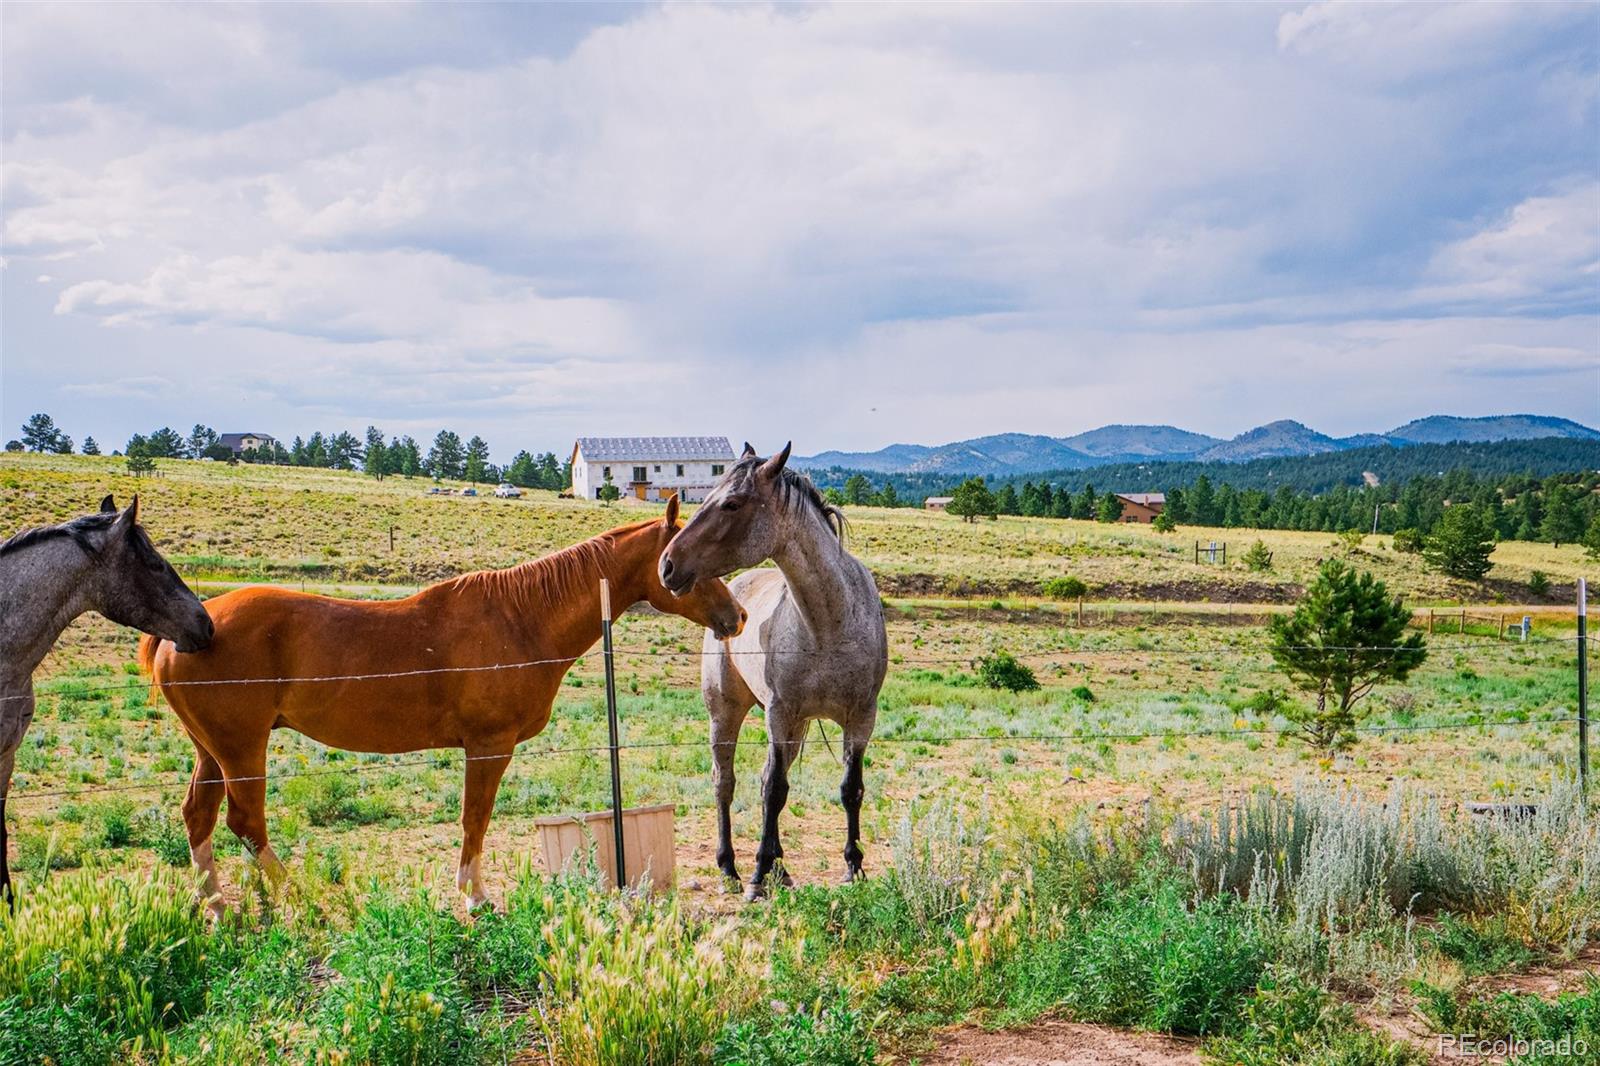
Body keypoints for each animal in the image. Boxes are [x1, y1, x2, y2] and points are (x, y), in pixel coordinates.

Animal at [140, 492, 739, 909]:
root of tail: (186, 629)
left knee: (199, 817)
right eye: (684, 555)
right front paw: (474, 896)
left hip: (211, 752)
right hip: (242, 750)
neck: (522, 620)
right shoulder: (488, 746)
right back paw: (301, 895)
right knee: (247, 822)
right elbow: (476, 817)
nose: (738, 616)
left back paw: (216, 905)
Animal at [659, 441, 889, 896]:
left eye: (732, 503)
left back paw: (782, 869)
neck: (828, 624)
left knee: (767, 777)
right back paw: (731, 867)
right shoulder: (780, 714)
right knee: (726, 782)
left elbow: (850, 789)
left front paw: (853, 865)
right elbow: (774, 792)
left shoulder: (860, 718)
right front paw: (758, 873)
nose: (668, 565)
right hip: (727, 714)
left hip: (793, 727)